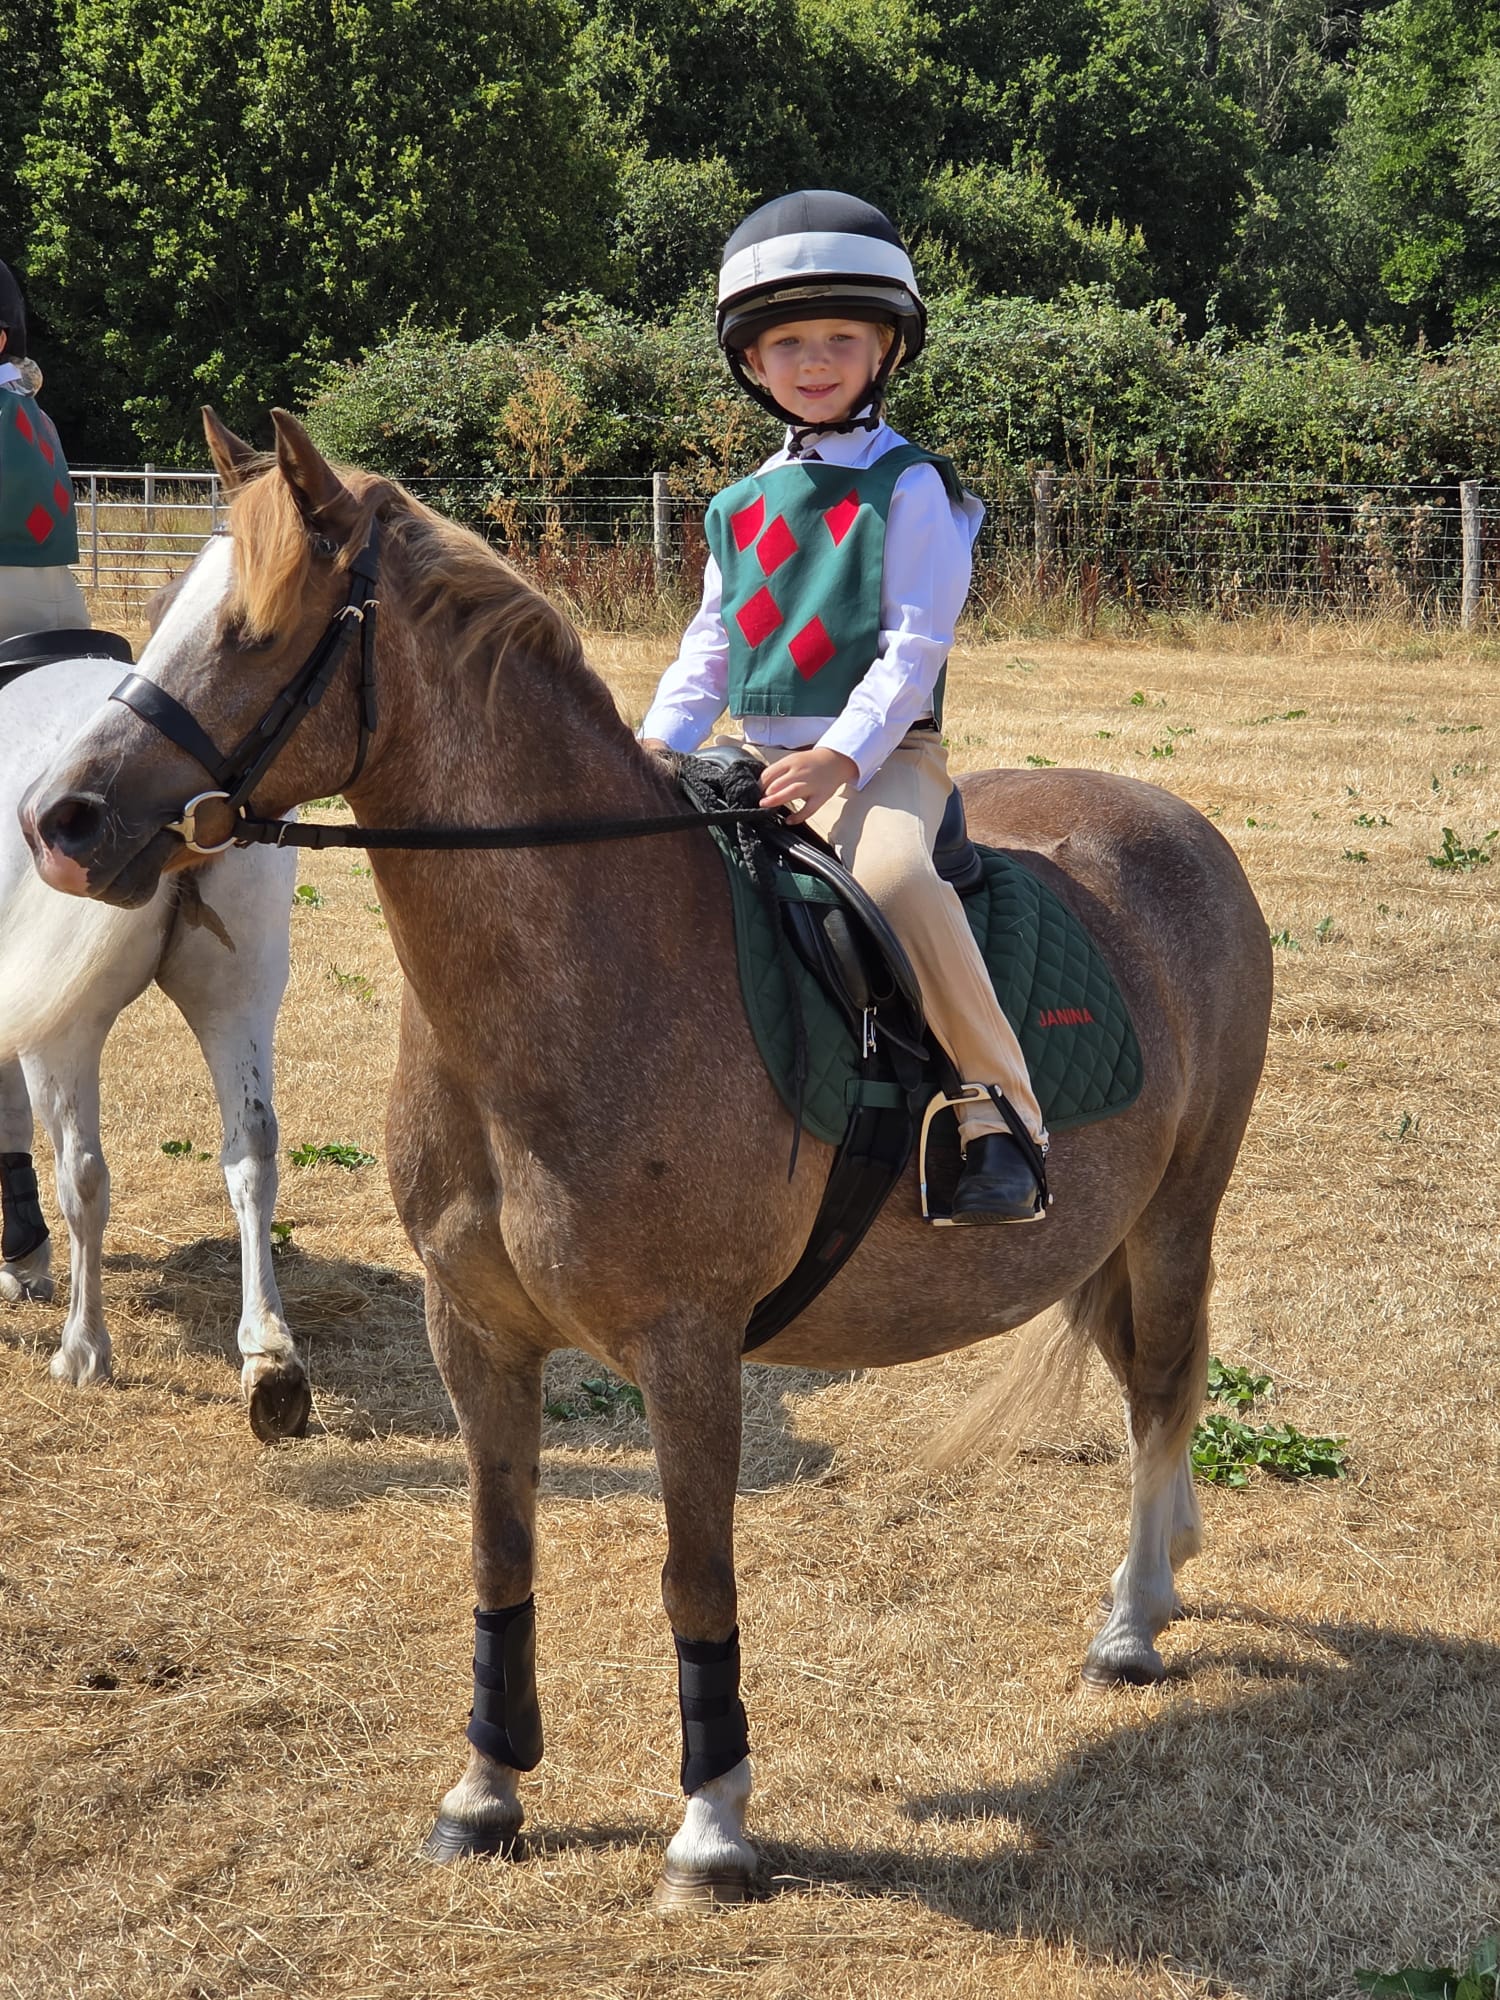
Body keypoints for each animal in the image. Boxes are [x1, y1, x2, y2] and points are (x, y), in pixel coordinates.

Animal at [0, 651, 311, 1439]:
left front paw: (23, 1257)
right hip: (239, 994)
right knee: (253, 1149)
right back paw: (270, 1358)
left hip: (67, 1029)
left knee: (83, 1175)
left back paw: (83, 1347)